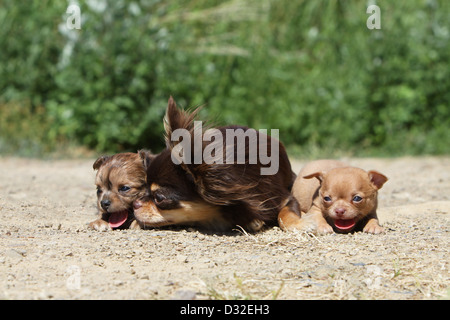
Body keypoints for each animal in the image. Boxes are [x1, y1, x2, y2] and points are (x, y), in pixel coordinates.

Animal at [134, 96, 302, 231]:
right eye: (143, 189)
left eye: (159, 198)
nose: (135, 204)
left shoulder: (284, 198)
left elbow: (286, 213)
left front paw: (297, 225)